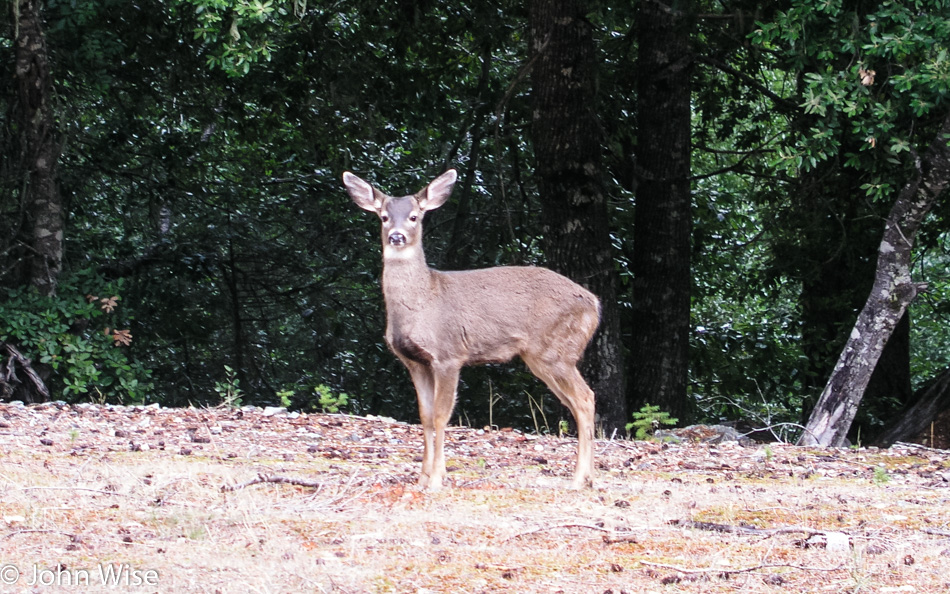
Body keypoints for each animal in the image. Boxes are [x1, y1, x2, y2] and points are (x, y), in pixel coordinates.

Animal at [344, 169, 604, 488]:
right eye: (383, 216)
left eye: (414, 216)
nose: (397, 236)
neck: (423, 303)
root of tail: (594, 304)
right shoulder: (414, 362)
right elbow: (424, 416)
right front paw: (422, 477)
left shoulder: (449, 354)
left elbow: (441, 415)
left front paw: (437, 480)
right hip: (542, 357)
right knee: (577, 402)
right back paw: (587, 476)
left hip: (556, 350)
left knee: (585, 398)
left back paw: (579, 478)